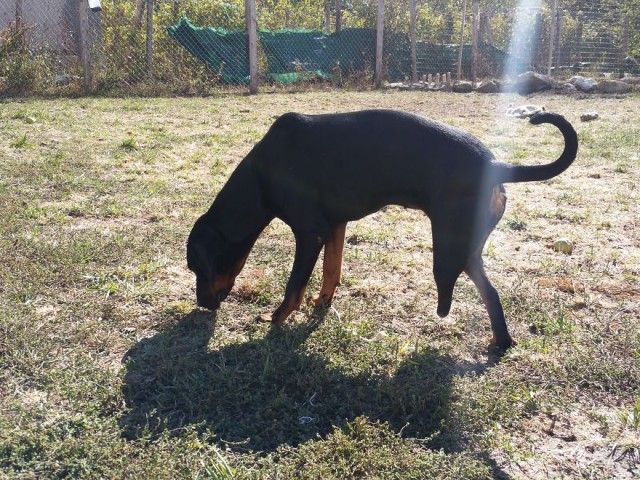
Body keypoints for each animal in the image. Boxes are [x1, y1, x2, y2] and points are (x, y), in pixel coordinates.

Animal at [187, 110, 577, 349]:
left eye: (195, 267)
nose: (202, 305)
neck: (260, 175)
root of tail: (496, 165)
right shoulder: (334, 226)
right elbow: (331, 272)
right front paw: (322, 303)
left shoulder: (310, 232)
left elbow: (293, 286)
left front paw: (277, 317)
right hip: (466, 252)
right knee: (492, 294)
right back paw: (501, 343)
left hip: (450, 252)